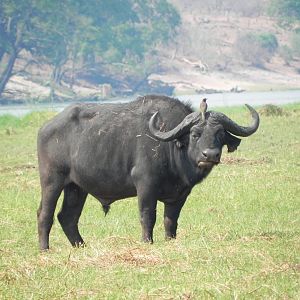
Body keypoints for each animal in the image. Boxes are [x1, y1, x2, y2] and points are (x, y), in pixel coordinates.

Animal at [36, 95, 258, 250]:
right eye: (195, 134)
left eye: (219, 134)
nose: (210, 155)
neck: (172, 148)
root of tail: (46, 127)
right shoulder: (145, 186)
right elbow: (147, 216)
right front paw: (147, 242)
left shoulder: (180, 195)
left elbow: (171, 220)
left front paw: (170, 240)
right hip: (52, 181)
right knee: (45, 214)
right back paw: (45, 249)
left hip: (77, 187)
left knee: (68, 216)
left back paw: (81, 246)